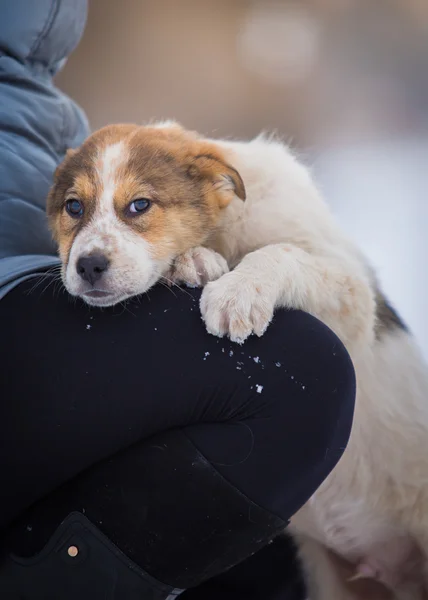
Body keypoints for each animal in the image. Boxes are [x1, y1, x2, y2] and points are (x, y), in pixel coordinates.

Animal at [47, 122, 428, 600]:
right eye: (73, 207)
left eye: (140, 205)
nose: (88, 266)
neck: (227, 228)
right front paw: (193, 261)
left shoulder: (351, 301)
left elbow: (282, 252)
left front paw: (239, 290)